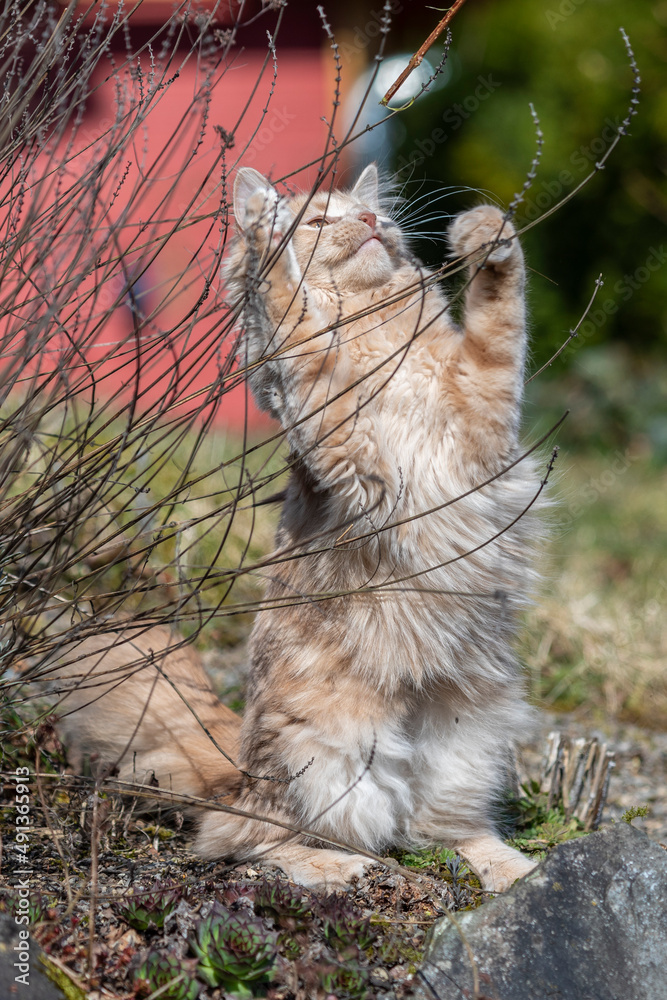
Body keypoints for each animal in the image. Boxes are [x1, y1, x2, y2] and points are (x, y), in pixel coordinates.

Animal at [52, 164, 544, 892]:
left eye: (372, 217)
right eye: (316, 221)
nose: (369, 223)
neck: (380, 339)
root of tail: (238, 769)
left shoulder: (485, 405)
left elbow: (500, 311)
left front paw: (486, 235)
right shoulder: (336, 435)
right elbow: (292, 323)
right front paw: (266, 244)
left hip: (466, 740)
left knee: (442, 831)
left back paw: (509, 869)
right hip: (330, 752)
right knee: (248, 841)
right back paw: (338, 867)